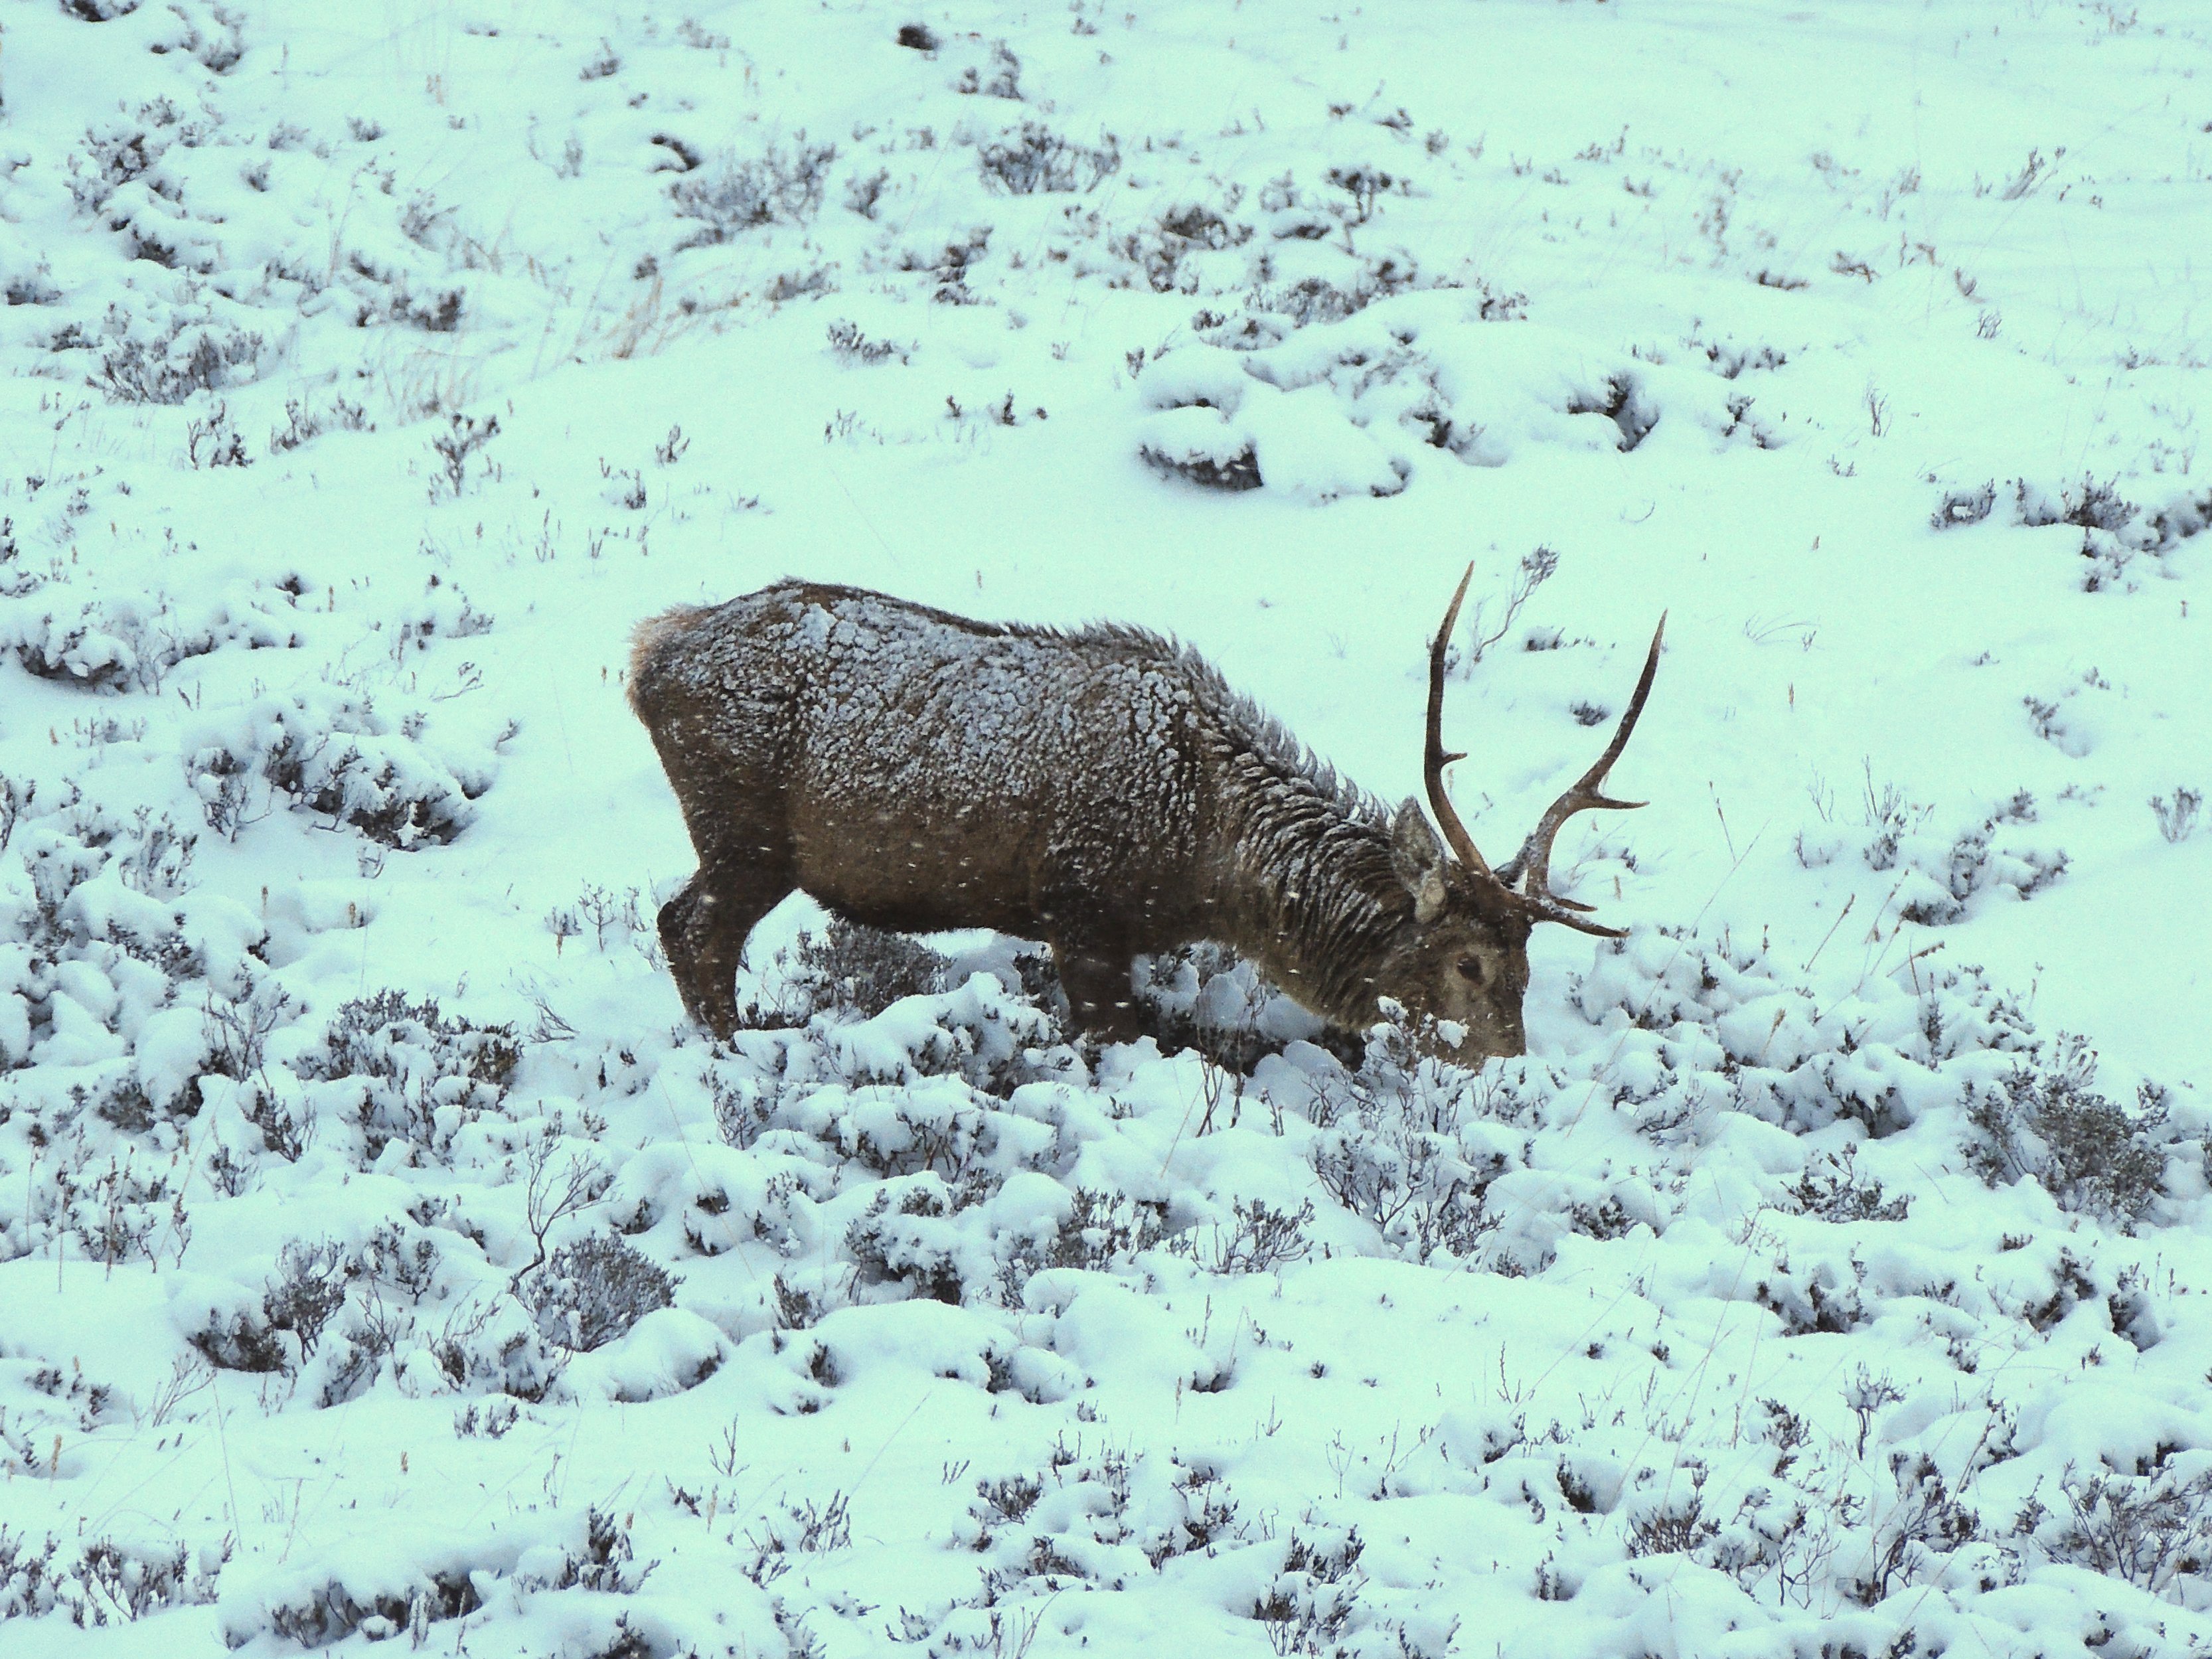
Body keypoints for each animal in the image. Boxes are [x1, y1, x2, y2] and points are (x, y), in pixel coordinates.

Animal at [623, 575, 1663, 1066]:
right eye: (1468, 961)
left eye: (1529, 966)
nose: (1509, 1066)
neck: (1207, 866)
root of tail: (648, 656)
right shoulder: (1078, 908)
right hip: (745, 834)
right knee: (690, 927)